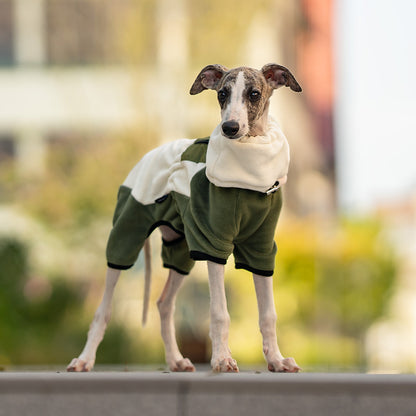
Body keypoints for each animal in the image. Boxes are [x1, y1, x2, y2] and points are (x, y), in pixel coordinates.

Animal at [68, 64, 302, 374]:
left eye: (254, 93)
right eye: (222, 94)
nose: (230, 128)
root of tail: (147, 156)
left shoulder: (261, 249)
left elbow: (268, 314)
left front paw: (276, 360)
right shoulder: (213, 242)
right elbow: (219, 312)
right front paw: (222, 359)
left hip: (180, 252)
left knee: (164, 303)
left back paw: (176, 360)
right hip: (126, 236)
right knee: (103, 308)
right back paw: (84, 359)